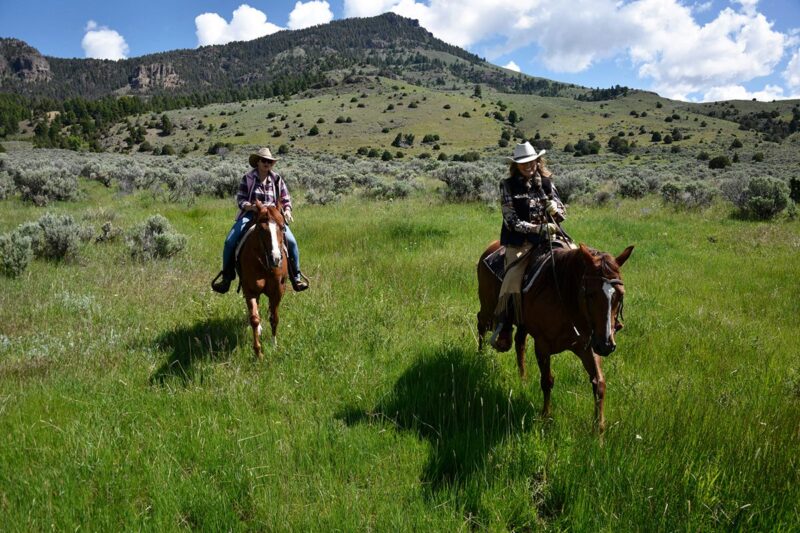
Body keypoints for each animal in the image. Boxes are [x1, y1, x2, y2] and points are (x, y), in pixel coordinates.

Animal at [239, 202, 290, 360]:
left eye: (282, 227)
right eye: (261, 229)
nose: (276, 258)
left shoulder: (278, 291)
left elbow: (274, 317)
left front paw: (274, 345)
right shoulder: (250, 290)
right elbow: (254, 319)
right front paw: (258, 352)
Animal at [478, 240, 636, 428]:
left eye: (620, 295)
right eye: (590, 294)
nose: (606, 345)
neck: (567, 300)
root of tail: (490, 248)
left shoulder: (588, 346)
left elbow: (599, 384)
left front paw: (599, 428)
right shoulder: (542, 345)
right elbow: (547, 381)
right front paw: (546, 416)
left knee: (519, 343)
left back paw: (523, 379)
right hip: (488, 308)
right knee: (481, 323)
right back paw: (479, 357)